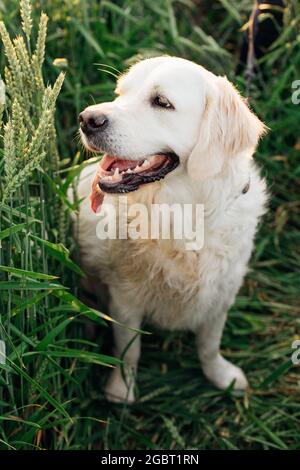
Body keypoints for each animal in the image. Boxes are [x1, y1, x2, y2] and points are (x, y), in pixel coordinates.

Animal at [73, 54, 268, 400]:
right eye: (121, 94)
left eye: (161, 102)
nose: (86, 119)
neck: (181, 215)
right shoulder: (125, 298)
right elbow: (129, 350)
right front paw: (122, 389)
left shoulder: (221, 294)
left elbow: (209, 344)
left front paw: (221, 376)